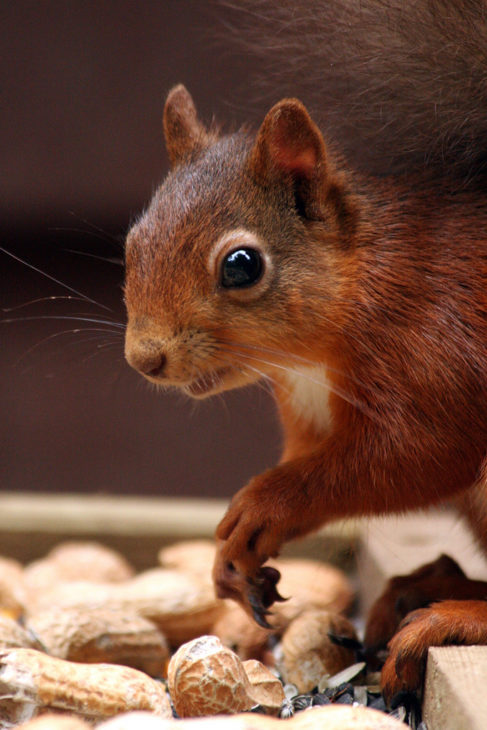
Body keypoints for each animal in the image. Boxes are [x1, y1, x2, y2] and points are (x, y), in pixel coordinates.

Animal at [124, 0, 487, 692]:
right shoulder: (309, 418)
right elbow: (308, 456)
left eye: (241, 265)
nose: (143, 360)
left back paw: (448, 615)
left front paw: (264, 505)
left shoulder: (439, 358)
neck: (307, 359)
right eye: (133, 240)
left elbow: (414, 458)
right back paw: (428, 584)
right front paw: (230, 557)